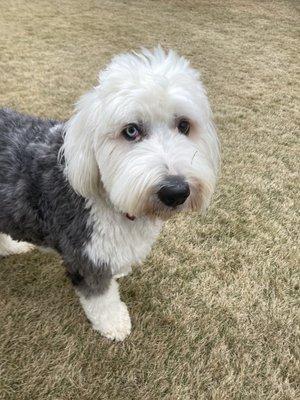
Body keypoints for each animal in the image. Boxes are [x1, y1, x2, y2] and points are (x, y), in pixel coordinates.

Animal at [0, 47, 220, 340]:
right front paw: (114, 323)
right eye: (131, 130)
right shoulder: (86, 254)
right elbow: (101, 297)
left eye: (184, 126)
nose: (175, 191)